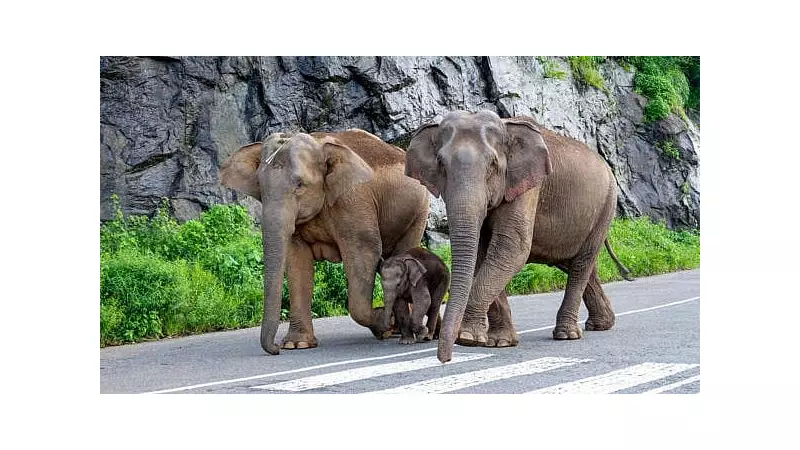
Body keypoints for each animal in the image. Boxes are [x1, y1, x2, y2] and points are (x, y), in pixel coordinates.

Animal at [219, 129, 429, 354]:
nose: (275, 348)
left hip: (418, 211)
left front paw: (384, 324)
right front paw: (297, 344)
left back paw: (401, 330)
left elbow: (364, 252)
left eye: (300, 184)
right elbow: (297, 261)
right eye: (259, 186)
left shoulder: (352, 201)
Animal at [405, 110, 633, 363]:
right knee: (578, 265)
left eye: (493, 164)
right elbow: (484, 253)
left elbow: (511, 249)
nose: (444, 359)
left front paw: (468, 339)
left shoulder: (527, 186)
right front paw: (499, 342)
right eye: (441, 164)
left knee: (582, 263)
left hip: (605, 207)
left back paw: (567, 334)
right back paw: (600, 325)